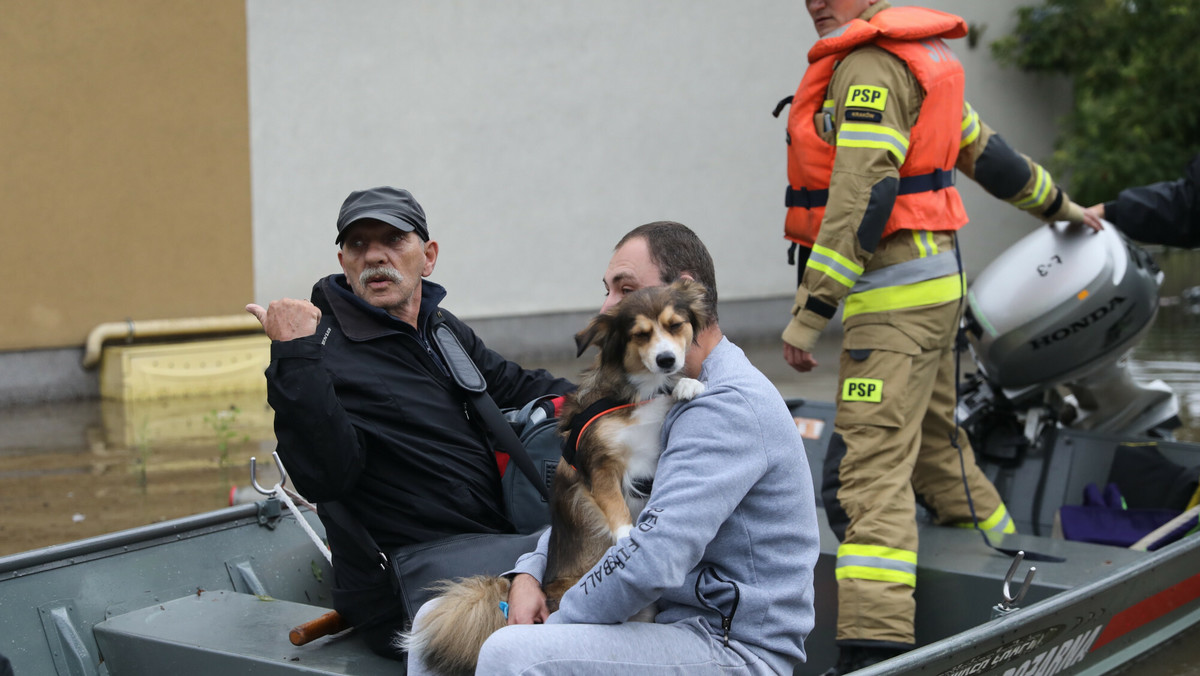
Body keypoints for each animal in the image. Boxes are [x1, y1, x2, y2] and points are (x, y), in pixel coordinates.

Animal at [403, 277, 705, 672]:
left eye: (675, 326)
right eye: (640, 335)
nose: (667, 360)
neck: (638, 393)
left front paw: (688, 384)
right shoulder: (598, 465)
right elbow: (615, 507)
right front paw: (627, 536)